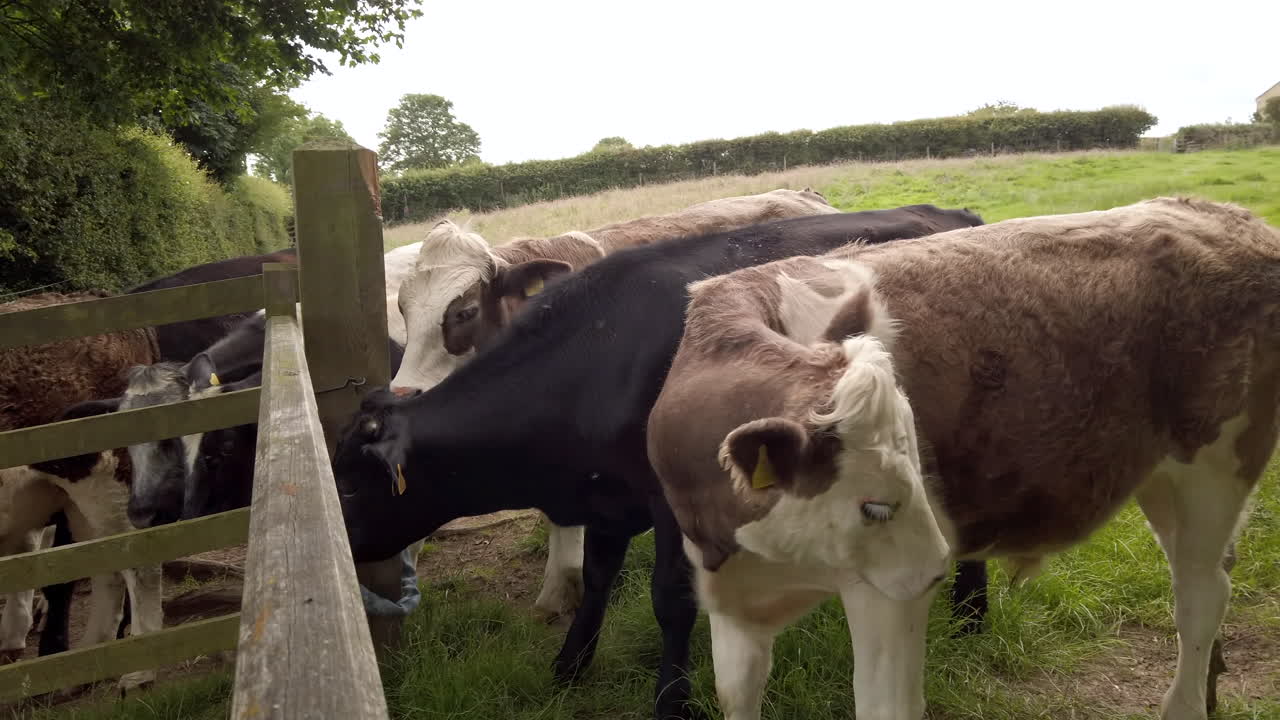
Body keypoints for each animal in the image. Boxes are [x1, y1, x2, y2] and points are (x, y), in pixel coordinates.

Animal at [645, 196, 1277, 720]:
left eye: (918, 468)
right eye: (875, 506)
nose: (940, 566)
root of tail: (1225, 215)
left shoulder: (885, 593)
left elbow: (885, 706)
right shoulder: (732, 598)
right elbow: (735, 692)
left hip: (1217, 465)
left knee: (1200, 595)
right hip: (1164, 477)